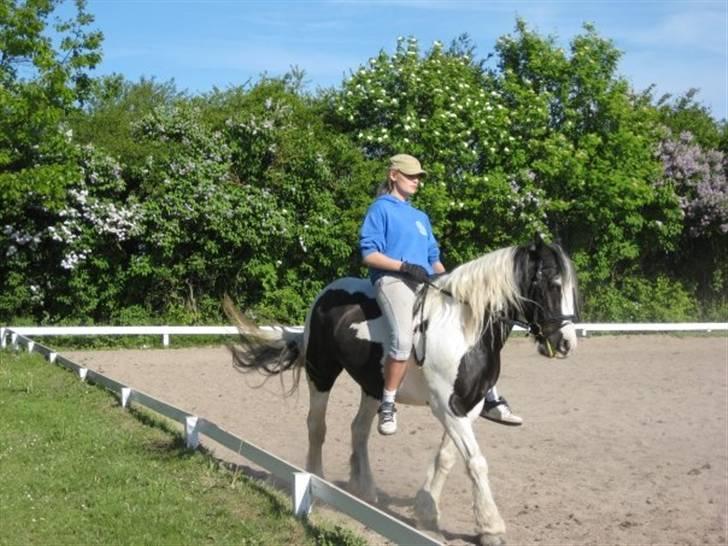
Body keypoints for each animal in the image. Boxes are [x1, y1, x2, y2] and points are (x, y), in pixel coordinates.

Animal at [228, 235, 580, 544]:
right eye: (552, 284)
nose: (566, 344)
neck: (465, 331)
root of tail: (326, 293)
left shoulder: (468, 407)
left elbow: (447, 459)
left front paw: (426, 512)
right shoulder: (447, 407)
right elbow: (476, 461)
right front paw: (491, 527)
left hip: (373, 387)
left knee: (359, 429)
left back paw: (366, 490)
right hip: (322, 373)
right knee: (317, 425)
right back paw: (317, 479)